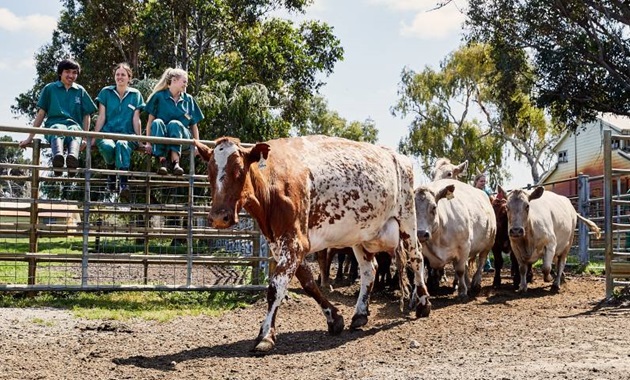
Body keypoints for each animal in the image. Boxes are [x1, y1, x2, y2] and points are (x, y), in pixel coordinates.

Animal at [196, 137, 434, 354]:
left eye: (239, 169)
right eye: (209, 171)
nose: (219, 217)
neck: (273, 182)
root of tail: (398, 156)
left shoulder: (295, 243)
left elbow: (275, 288)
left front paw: (265, 335)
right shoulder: (282, 244)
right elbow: (309, 283)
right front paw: (334, 318)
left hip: (407, 220)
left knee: (416, 258)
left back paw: (423, 303)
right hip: (360, 235)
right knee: (369, 270)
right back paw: (360, 314)